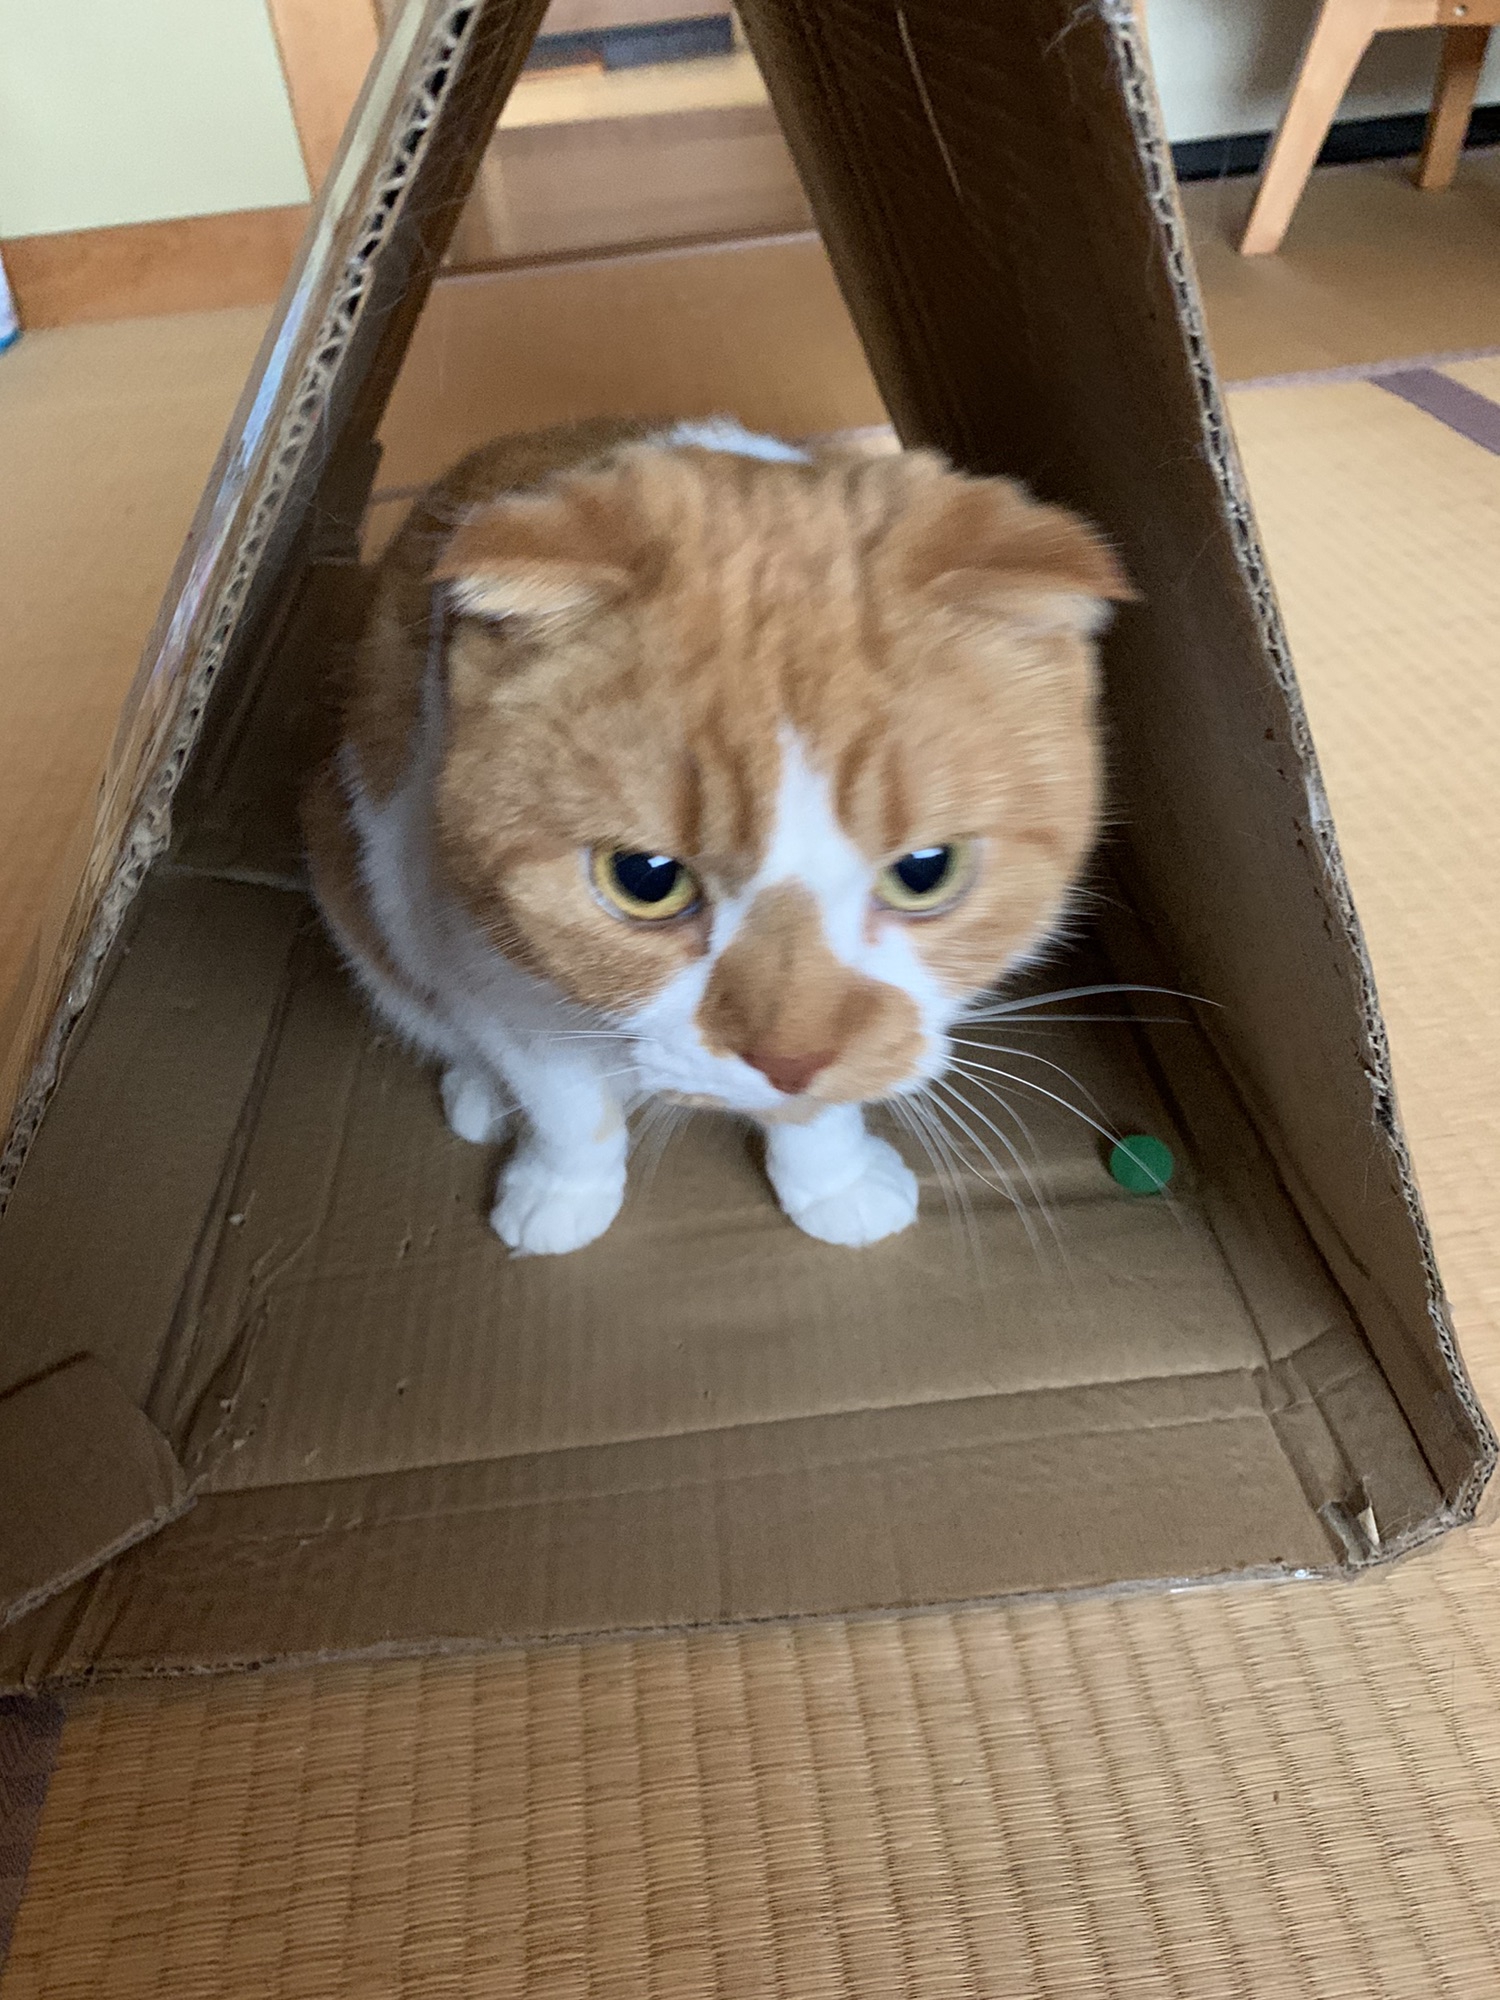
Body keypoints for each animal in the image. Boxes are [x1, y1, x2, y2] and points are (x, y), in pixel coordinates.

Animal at [304, 416, 1132, 1256]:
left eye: (925, 870)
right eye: (644, 878)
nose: (789, 1060)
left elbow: (837, 1091)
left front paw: (833, 1180)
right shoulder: (474, 955)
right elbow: (567, 1103)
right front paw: (562, 1191)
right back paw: (482, 1094)